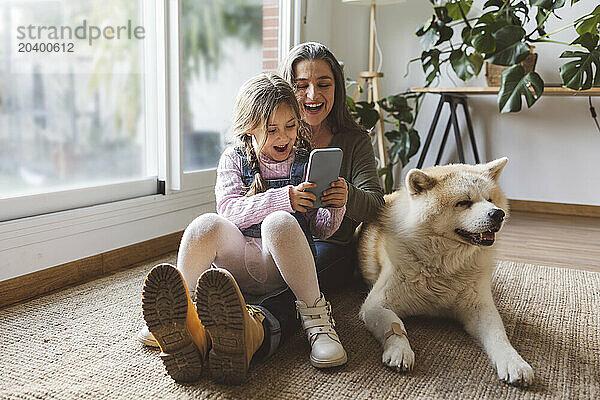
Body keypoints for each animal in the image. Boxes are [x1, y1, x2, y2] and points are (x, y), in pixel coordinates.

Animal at [358, 158, 532, 386]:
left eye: (490, 199)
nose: (498, 213)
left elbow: (498, 335)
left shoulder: (479, 308)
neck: (443, 266)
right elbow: (394, 324)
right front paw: (400, 350)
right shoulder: (375, 306)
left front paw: (514, 361)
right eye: (464, 202)